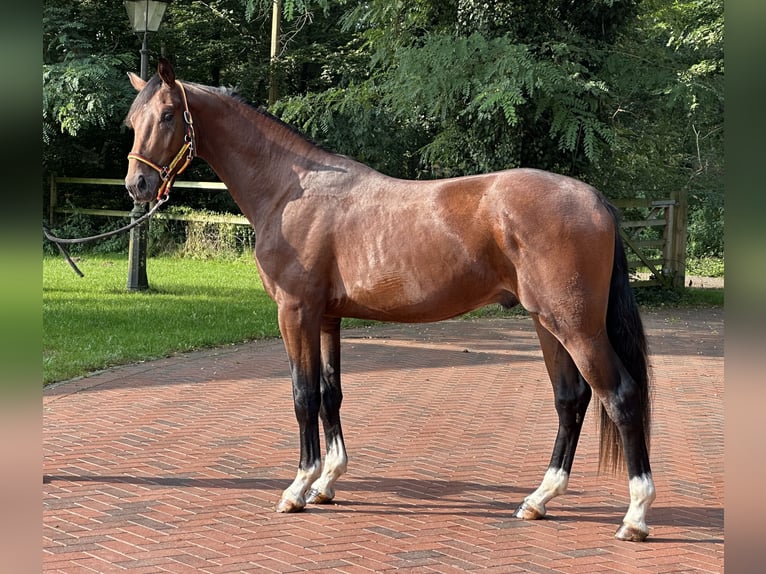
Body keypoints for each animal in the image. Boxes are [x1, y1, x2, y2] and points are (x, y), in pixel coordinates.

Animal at [123, 59, 656, 544]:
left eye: (167, 115)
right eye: (133, 119)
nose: (136, 186)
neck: (291, 191)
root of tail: (596, 200)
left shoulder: (295, 312)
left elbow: (302, 395)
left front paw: (298, 488)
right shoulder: (328, 318)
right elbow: (330, 394)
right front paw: (327, 482)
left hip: (577, 327)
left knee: (621, 397)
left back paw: (635, 517)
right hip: (546, 323)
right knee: (571, 399)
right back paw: (539, 499)